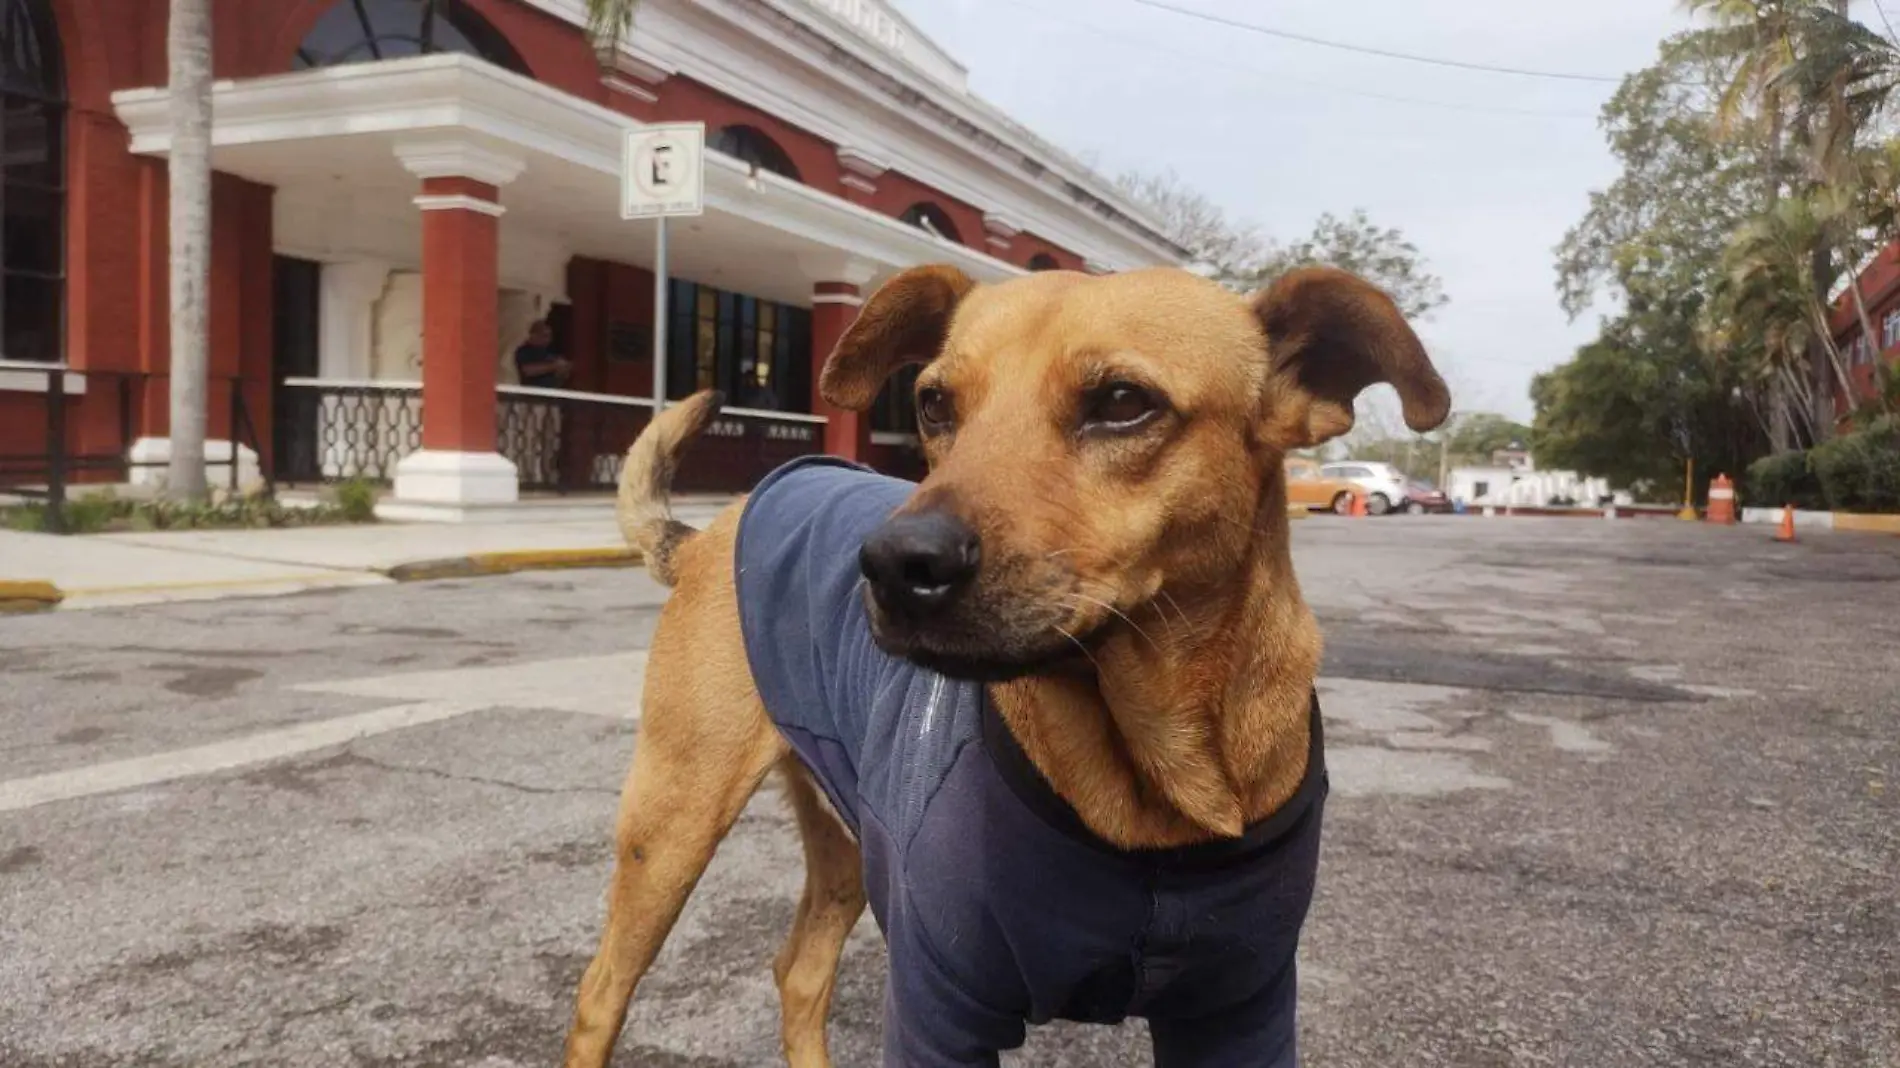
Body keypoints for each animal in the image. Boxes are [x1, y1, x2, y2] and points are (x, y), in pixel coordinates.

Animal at [554, 260, 1444, 1064]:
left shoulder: (1240, 1009)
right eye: (933, 403)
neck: (1155, 772)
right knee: (601, 993)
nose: (891, 565)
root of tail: (711, 530)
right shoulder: (938, 1003)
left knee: (799, 972)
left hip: (845, 840)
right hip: (672, 822)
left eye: (1123, 403)